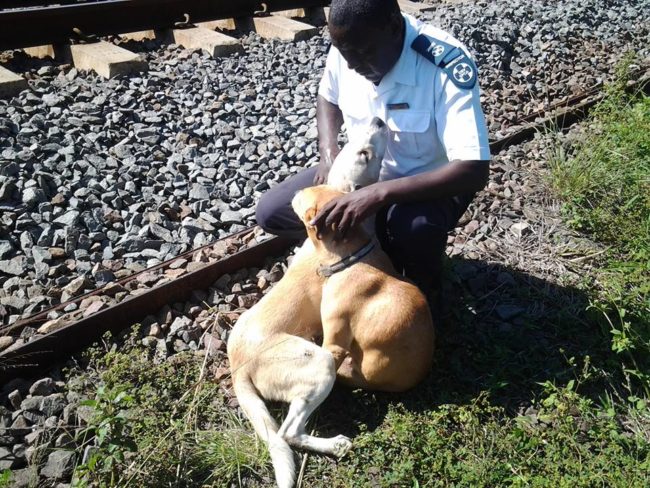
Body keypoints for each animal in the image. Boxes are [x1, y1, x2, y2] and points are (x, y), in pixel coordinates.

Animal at [225, 185, 432, 486]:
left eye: (302, 198)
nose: (295, 190)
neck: (354, 255)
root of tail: (236, 366)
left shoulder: (333, 344)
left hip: (320, 361)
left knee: (288, 432)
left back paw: (335, 445)